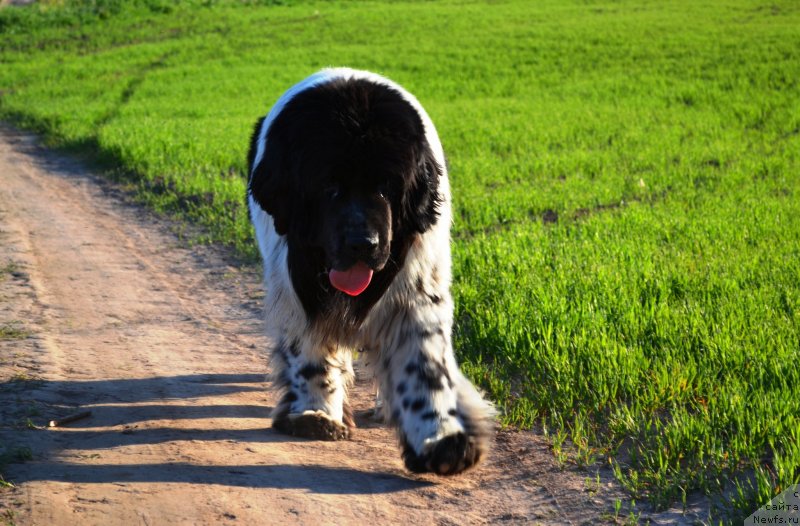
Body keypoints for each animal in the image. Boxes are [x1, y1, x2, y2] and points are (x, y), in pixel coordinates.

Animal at [245, 68, 494, 476]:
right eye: (329, 187)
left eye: (387, 187)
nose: (364, 243)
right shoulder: (297, 284)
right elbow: (310, 349)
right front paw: (316, 413)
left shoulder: (416, 293)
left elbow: (424, 366)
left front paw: (440, 439)